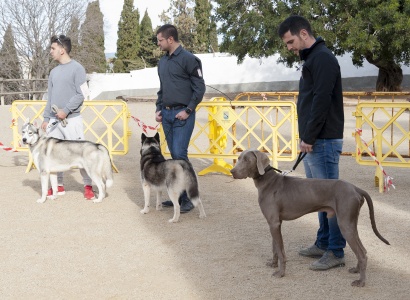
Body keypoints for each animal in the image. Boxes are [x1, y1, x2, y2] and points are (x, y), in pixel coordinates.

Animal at [231, 149, 390, 286]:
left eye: (247, 160)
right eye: (238, 158)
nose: (232, 171)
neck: (268, 181)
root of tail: (356, 188)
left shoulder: (274, 223)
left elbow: (281, 251)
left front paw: (281, 273)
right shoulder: (274, 223)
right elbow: (274, 247)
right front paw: (273, 264)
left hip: (345, 223)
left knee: (362, 253)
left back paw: (361, 282)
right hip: (351, 222)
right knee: (363, 250)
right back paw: (356, 270)